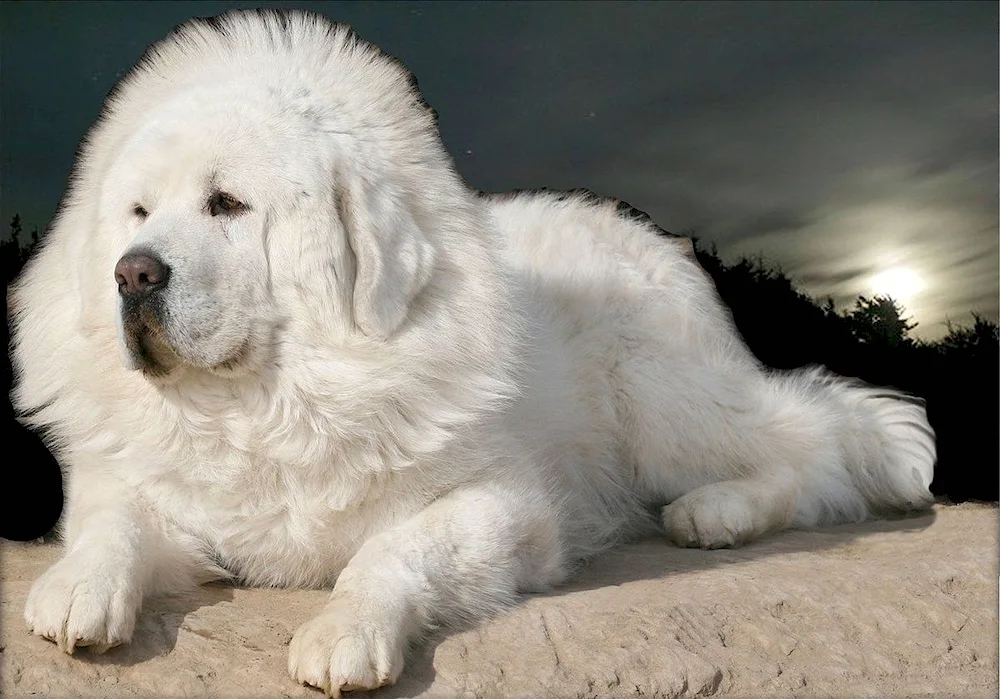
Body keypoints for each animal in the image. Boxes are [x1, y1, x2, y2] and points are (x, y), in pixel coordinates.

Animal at [11, 8, 936, 696]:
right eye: (137, 213)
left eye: (227, 203)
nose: (133, 273)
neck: (270, 399)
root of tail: (647, 232)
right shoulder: (135, 482)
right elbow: (115, 521)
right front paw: (79, 589)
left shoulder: (505, 503)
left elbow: (392, 551)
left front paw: (344, 631)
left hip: (661, 402)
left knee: (809, 450)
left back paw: (719, 512)